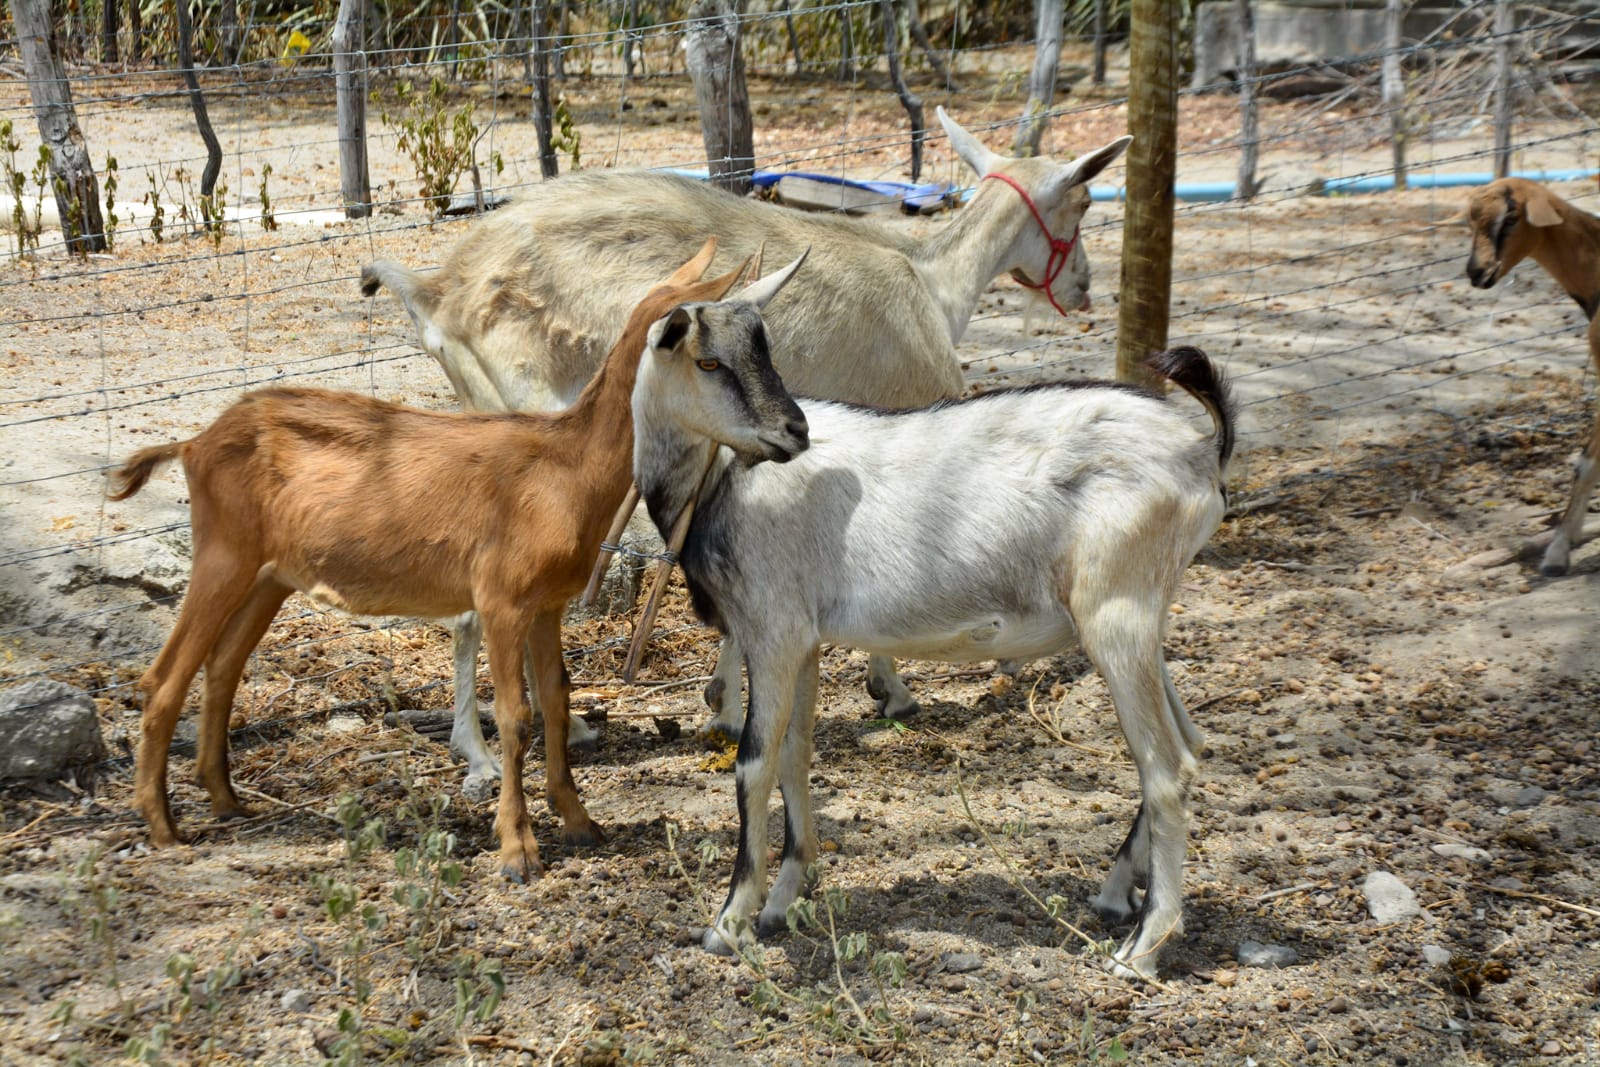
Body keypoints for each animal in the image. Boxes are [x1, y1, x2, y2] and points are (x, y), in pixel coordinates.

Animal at [103, 241, 790, 883]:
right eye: (708, 359)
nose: (794, 431)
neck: (564, 470)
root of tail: (194, 444)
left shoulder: (546, 605)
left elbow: (557, 700)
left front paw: (580, 821)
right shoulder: (500, 599)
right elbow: (514, 716)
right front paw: (517, 850)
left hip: (268, 577)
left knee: (222, 669)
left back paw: (227, 801)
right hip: (223, 556)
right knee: (163, 678)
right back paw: (163, 827)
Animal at [360, 110, 1139, 751]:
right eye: (1083, 201)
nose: (1083, 289)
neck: (931, 283)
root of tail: (440, 289)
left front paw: (723, 703)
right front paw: (890, 689)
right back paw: (515, 742)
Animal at [633, 337, 1235, 979]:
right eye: (708, 360)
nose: (791, 432)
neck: (724, 482)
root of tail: (1201, 451)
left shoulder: (772, 631)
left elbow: (755, 763)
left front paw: (729, 922)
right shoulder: (804, 641)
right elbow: (796, 755)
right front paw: (785, 898)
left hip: (1117, 614)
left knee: (1168, 768)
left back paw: (1142, 949)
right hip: (1141, 620)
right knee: (1191, 740)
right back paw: (1118, 893)